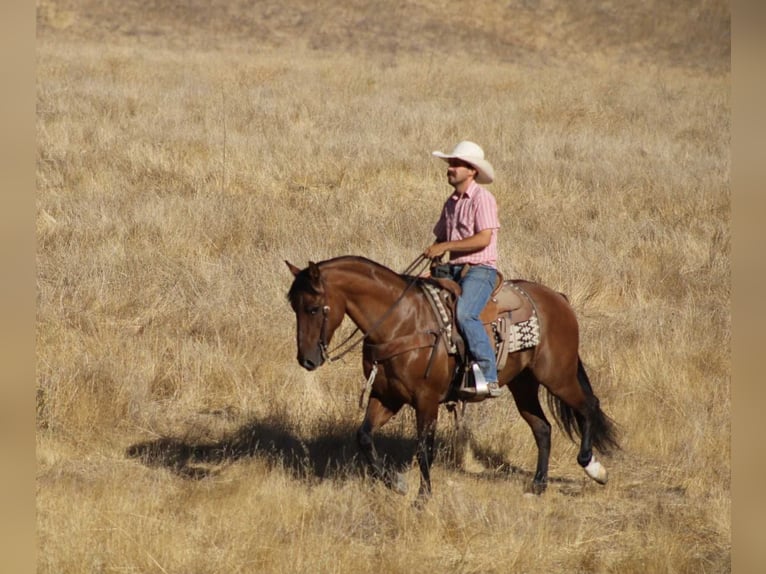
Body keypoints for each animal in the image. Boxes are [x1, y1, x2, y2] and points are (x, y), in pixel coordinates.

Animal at [286, 255, 618, 502]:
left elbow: (425, 449)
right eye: (294, 307)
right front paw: (396, 483)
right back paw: (538, 485)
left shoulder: (426, 400)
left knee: (588, 405)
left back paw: (594, 468)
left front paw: (423, 497)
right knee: (543, 428)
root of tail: (559, 299)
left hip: (557, 375)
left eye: (313, 308)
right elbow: (364, 437)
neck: (401, 322)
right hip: (523, 383)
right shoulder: (387, 397)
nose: (307, 360)